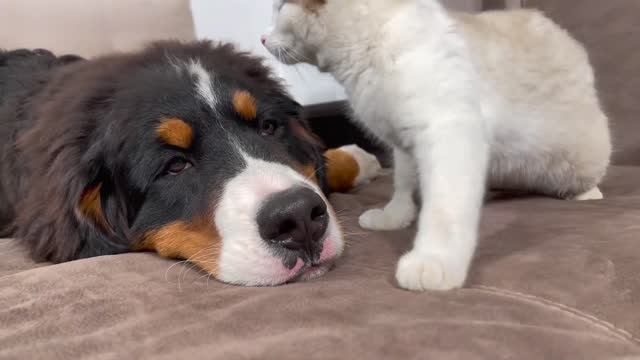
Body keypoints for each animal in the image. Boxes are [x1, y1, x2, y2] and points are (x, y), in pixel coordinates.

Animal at [264, 0, 608, 292]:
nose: (262, 38)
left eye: (279, 8)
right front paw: (395, 217)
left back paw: (586, 194)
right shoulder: (404, 145)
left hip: (577, 154)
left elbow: (443, 210)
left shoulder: (448, 131)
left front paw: (433, 261)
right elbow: (403, 185)